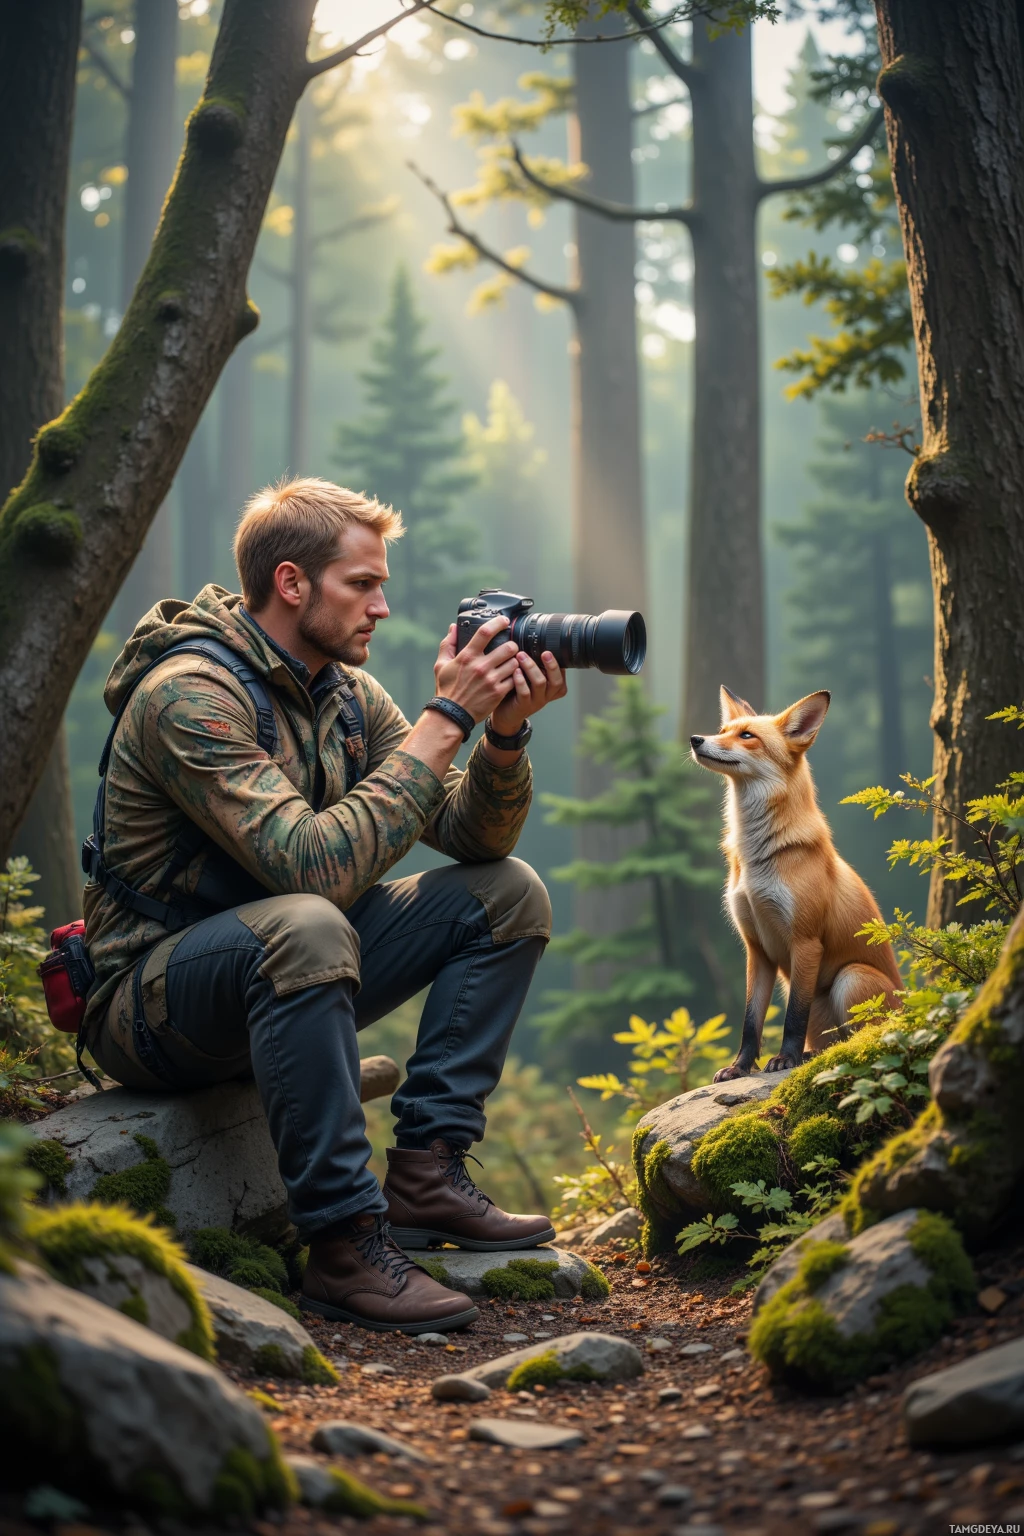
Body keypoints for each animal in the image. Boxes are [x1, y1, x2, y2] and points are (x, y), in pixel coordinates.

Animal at [689, 685, 902, 1082]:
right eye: (723, 730)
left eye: (747, 736)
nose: (696, 739)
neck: (759, 859)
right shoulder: (756, 948)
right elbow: (750, 1022)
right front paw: (740, 1067)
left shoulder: (805, 941)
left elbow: (792, 1019)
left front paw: (784, 1060)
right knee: (828, 1043)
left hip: (850, 978)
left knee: (860, 1040)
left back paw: (808, 1057)